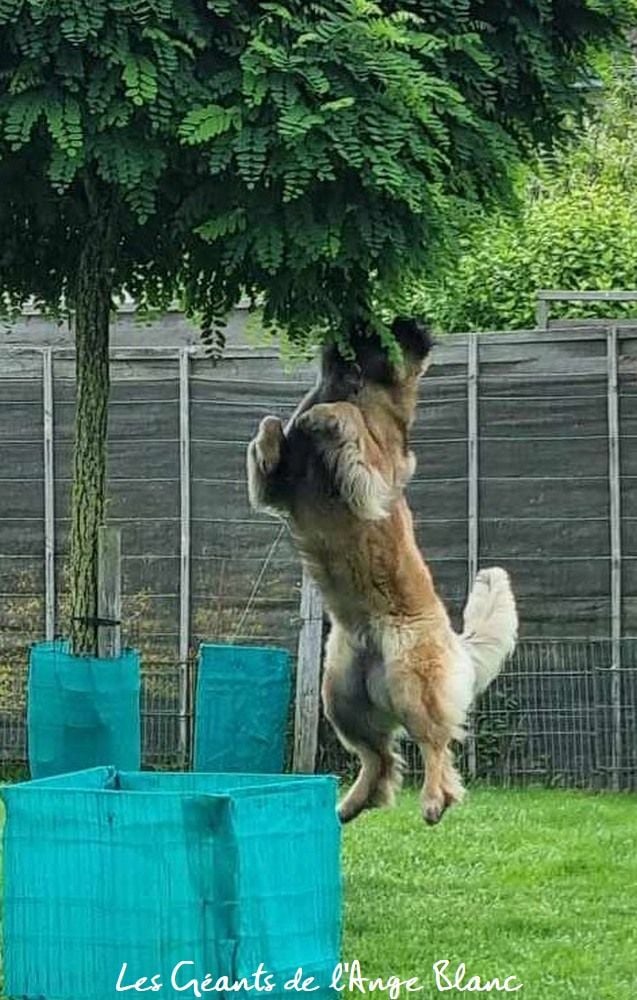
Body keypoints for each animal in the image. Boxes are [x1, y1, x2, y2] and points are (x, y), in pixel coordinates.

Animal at [245, 316, 516, 824]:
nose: (352, 321)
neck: (352, 385)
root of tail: (454, 639)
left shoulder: (372, 480)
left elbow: (346, 420)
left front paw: (324, 417)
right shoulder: (278, 487)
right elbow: (270, 426)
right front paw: (284, 430)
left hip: (412, 679)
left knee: (435, 744)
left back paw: (434, 800)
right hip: (341, 696)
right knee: (383, 758)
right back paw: (348, 806)